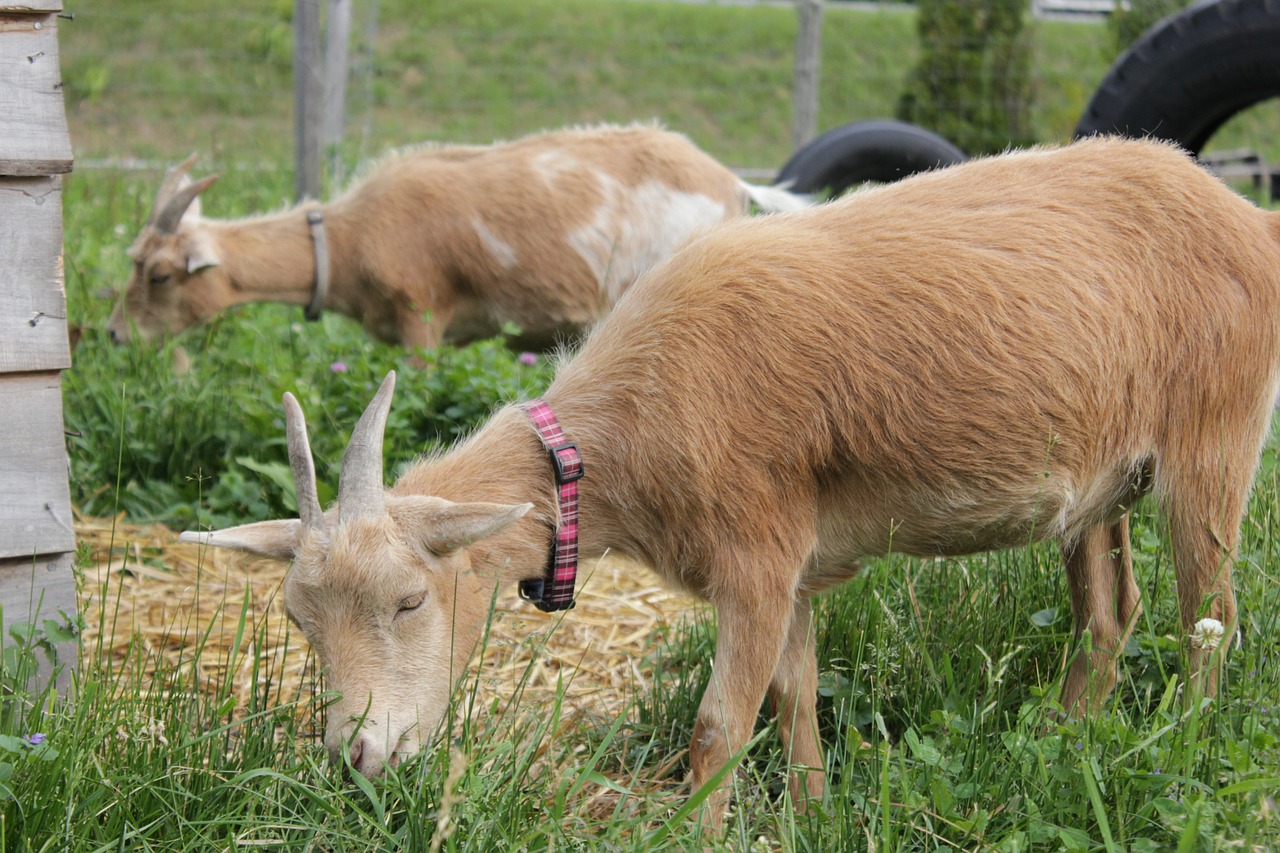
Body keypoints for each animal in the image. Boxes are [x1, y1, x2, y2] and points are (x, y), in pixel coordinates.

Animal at [112, 122, 808, 350]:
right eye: (133, 261)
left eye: (161, 274)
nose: (117, 335)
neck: (347, 238)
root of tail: (732, 184)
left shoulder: (423, 315)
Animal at [177, 137, 1280, 824]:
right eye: (297, 619)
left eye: (410, 599)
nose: (355, 759)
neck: (617, 436)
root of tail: (1248, 218)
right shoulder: (790, 568)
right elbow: (794, 701)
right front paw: (814, 815)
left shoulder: (755, 554)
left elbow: (717, 727)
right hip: (1099, 485)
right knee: (1108, 615)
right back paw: (1058, 745)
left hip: (1211, 441)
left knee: (1207, 617)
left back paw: (1177, 750)